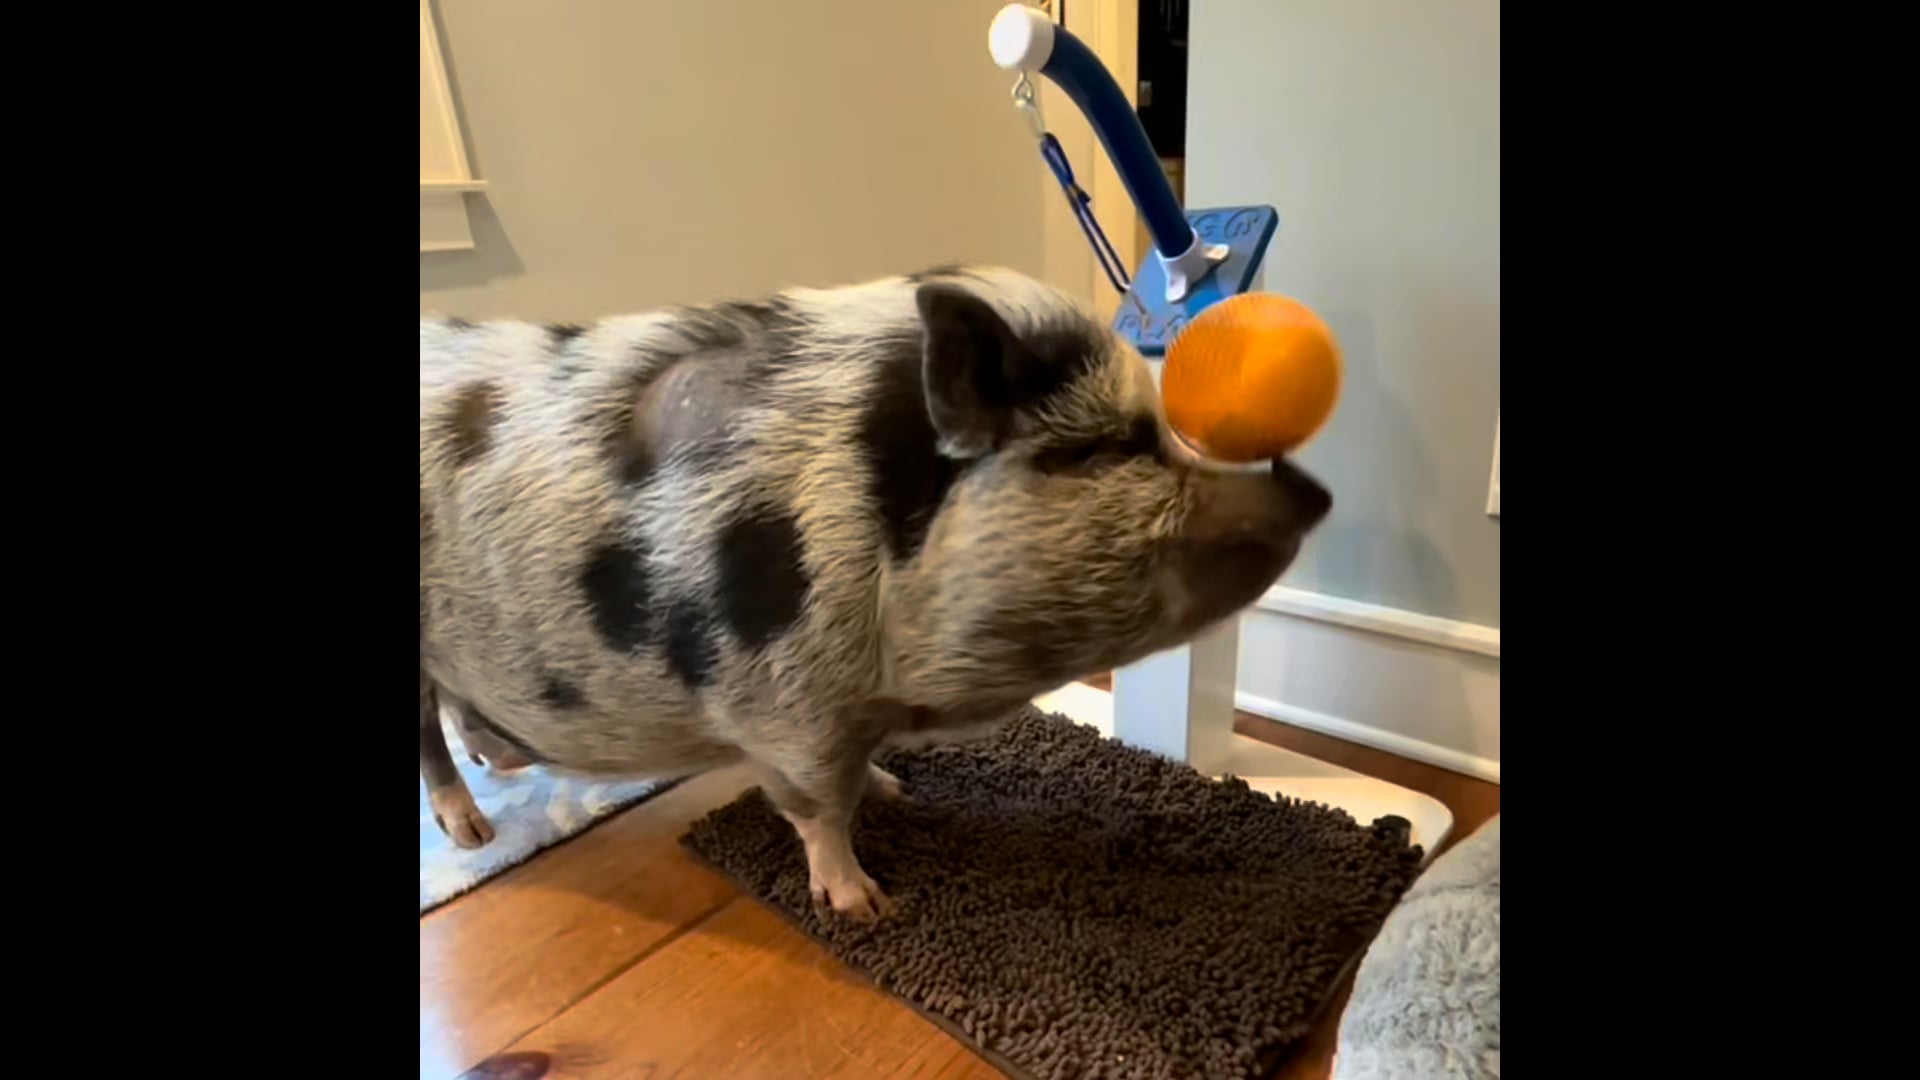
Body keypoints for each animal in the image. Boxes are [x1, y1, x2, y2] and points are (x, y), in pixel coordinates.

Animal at [419, 266, 1331, 918]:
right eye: (1110, 448)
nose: (1310, 487)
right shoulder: (785, 703)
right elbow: (819, 807)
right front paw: (867, 908)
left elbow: (860, 780)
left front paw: (901, 792)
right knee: (431, 739)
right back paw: (474, 835)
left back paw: (502, 761)